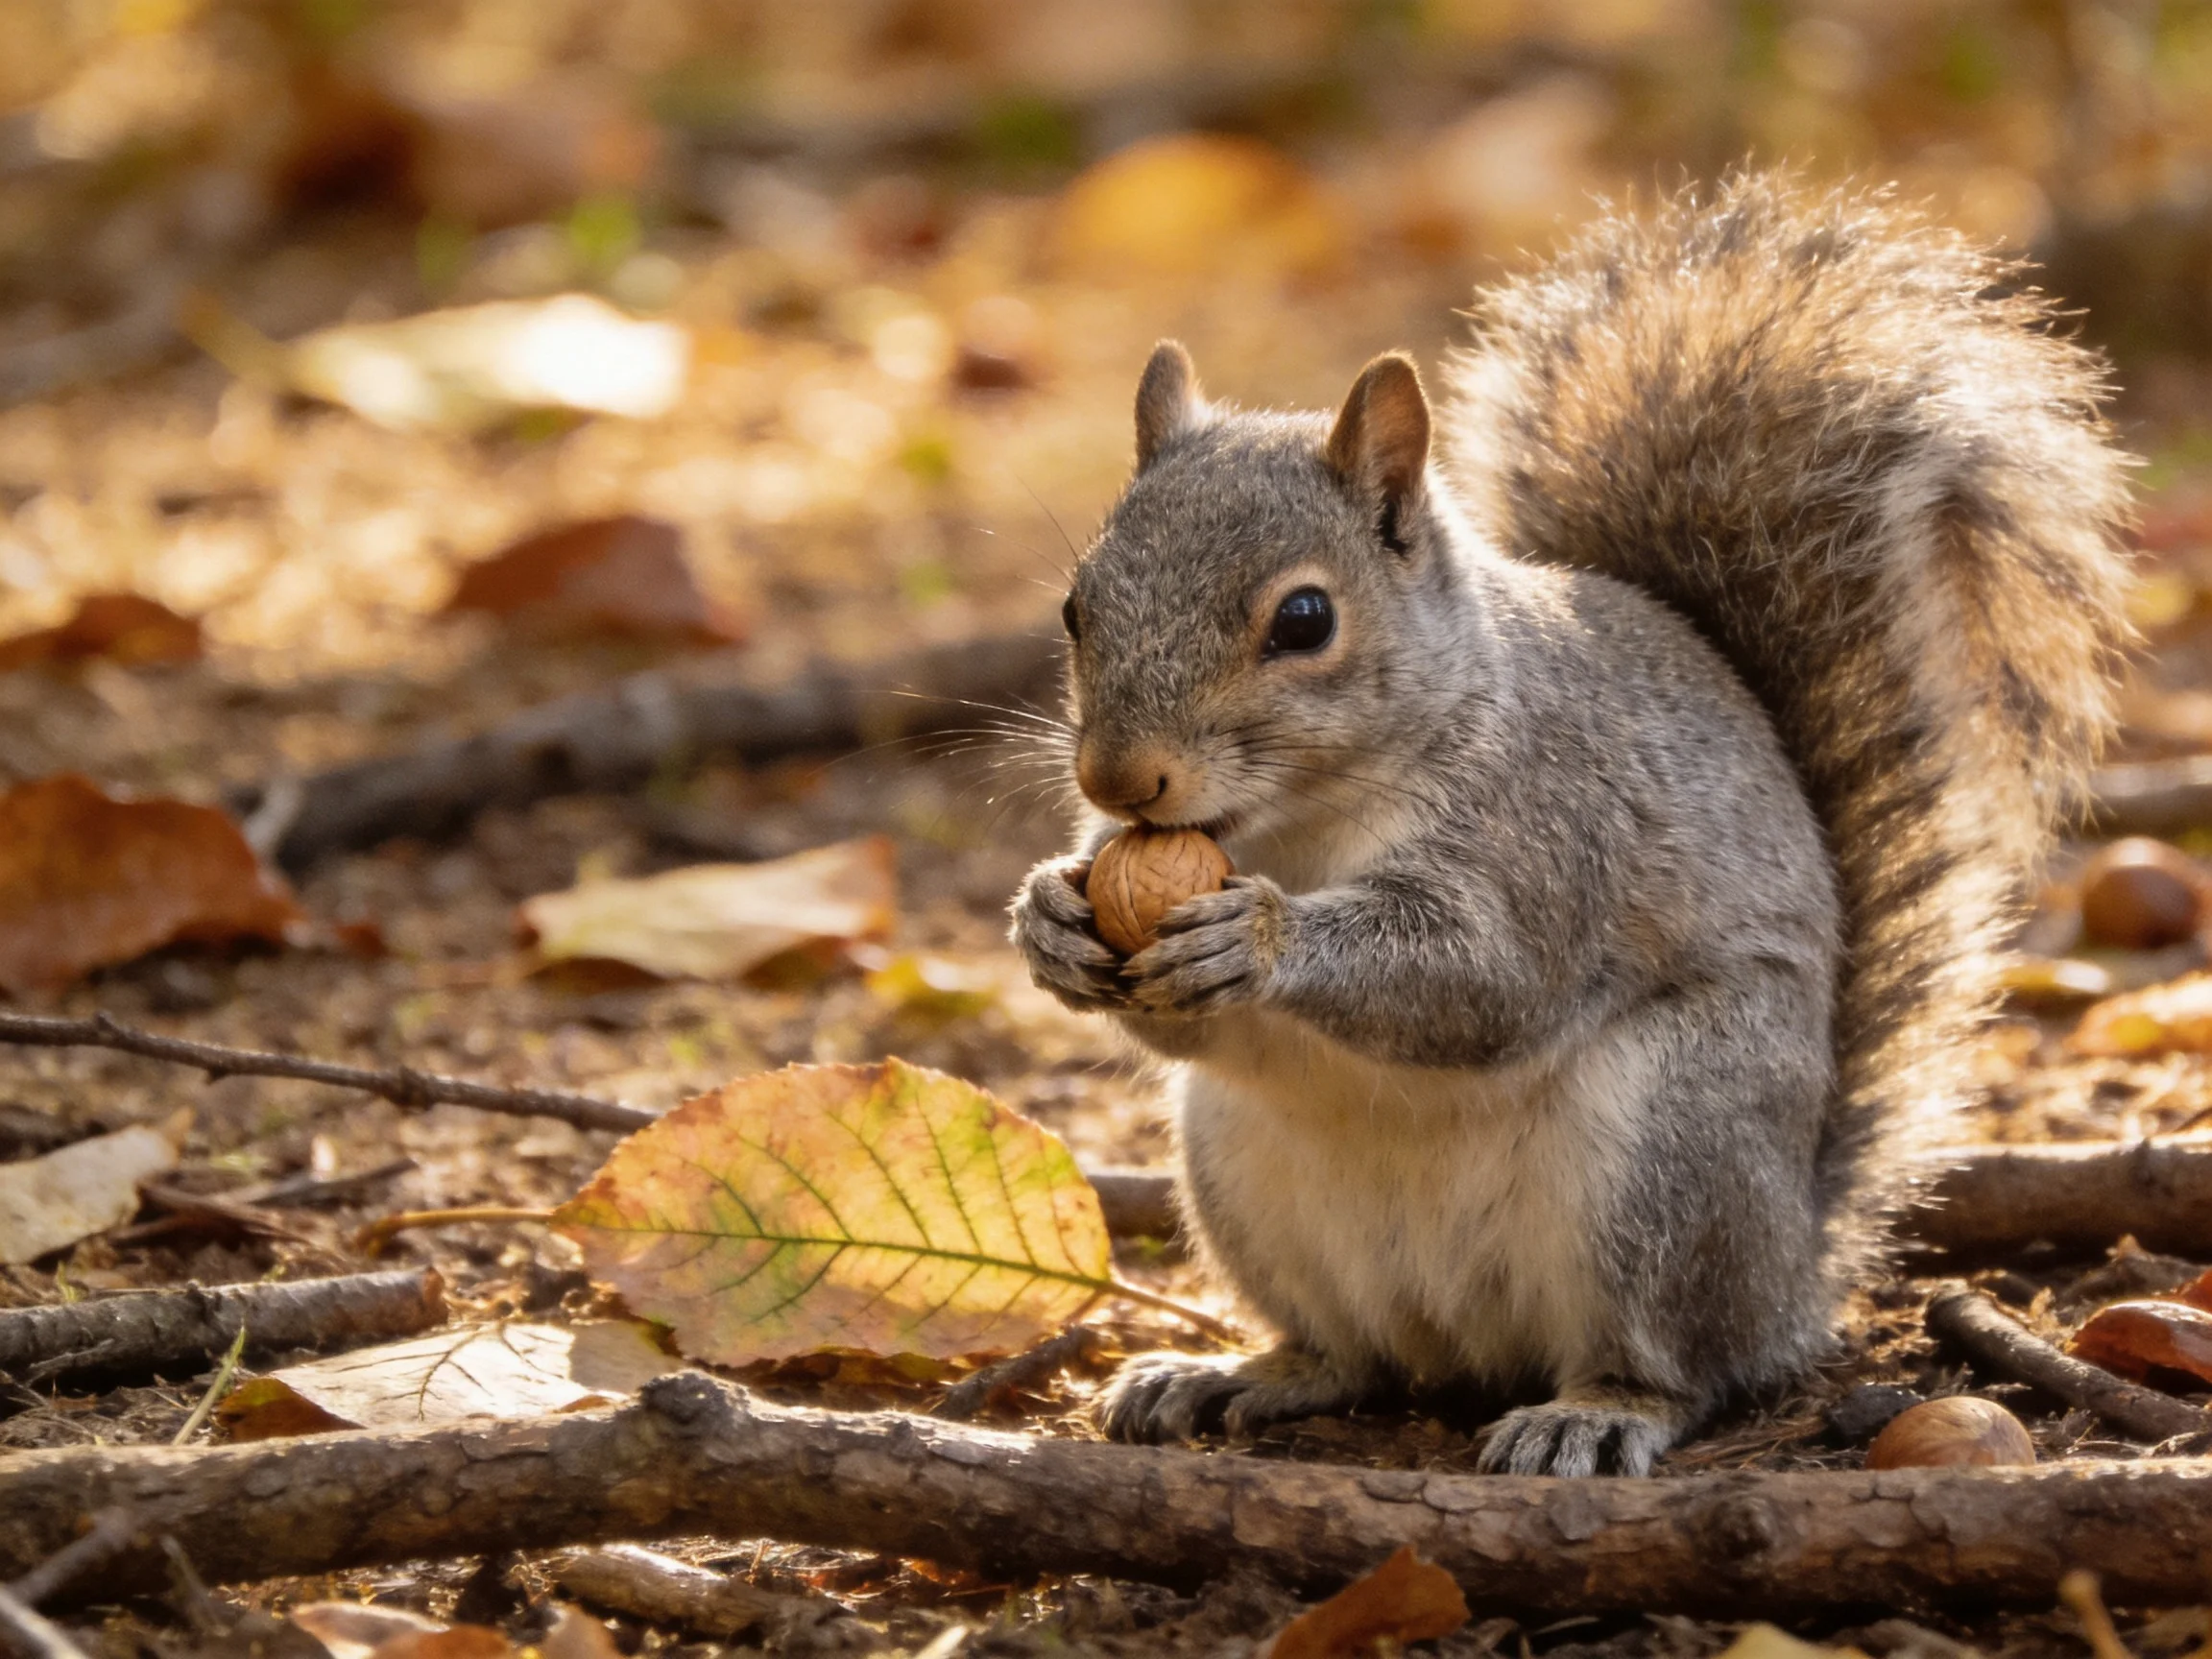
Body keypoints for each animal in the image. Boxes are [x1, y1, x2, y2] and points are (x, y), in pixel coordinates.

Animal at [1009, 174, 2135, 1476]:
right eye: (1076, 607)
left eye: (1303, 620)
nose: (1116, 778)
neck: (1299, 824)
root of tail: (1795, 1270)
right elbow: (1186, 1016)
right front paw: (1048, 917)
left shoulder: (1553, 828)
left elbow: (1486, 979)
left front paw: (1262, 939)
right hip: (1239, 1173)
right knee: (1352, 1358)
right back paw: (1237, 1372)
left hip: (1668, 1158)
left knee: (1683, 1365)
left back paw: (1598, 1413)